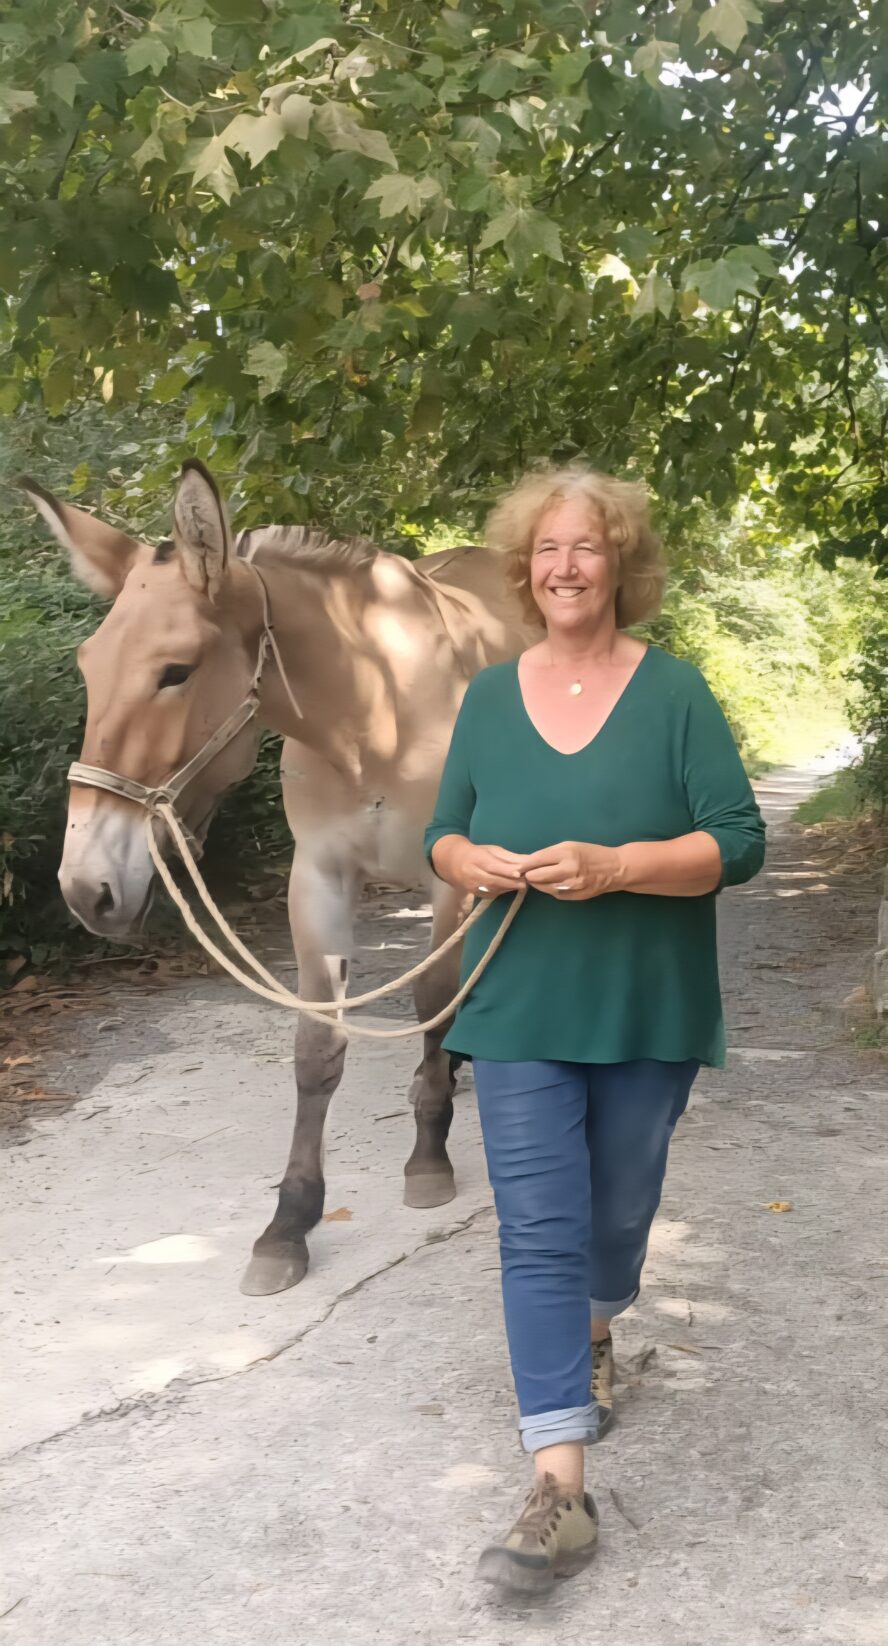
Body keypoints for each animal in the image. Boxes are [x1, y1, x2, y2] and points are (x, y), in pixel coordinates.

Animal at [22, 460, 534, 1295]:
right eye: (86, 667)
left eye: (175, 670)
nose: (85, 887)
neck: (378, 713)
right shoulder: (318, 877)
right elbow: (316, 1048)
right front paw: (288, 1224)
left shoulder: (449, 880)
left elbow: (431, 1002)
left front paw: (428, 1157)